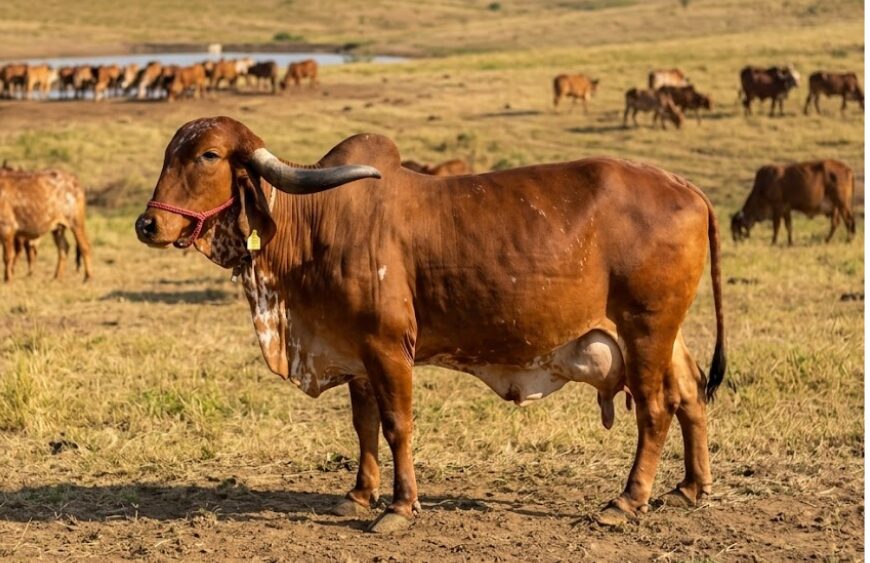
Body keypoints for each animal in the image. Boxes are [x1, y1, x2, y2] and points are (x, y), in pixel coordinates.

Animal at [135, 116, 726, 533]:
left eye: (208, 155)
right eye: (168, 154)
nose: (148, 224)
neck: (315, 222)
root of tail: (688, 188)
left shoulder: (387, 346)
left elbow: (397, 425)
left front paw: (399, 507)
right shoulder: (354, 353)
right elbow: (364, 425)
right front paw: (359, 494)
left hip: (645, 328)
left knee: (654, 410)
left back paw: (627, 500)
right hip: (662, 332)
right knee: (691, 392)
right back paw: (691, 488)